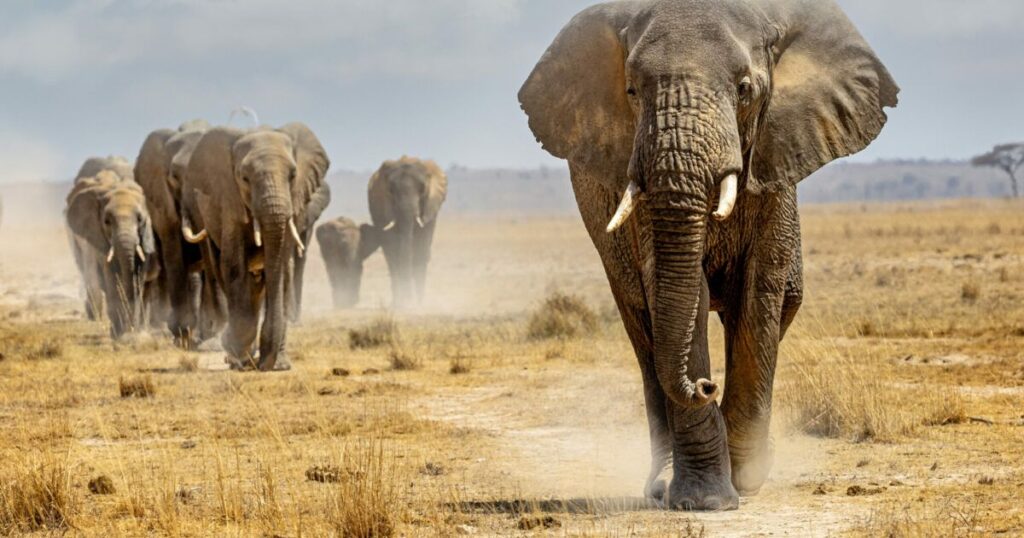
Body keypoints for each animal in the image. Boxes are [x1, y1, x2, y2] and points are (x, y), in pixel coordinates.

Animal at [66, 169, 157, 338]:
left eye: (140, 219)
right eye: (107, 221)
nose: (130, 328)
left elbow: (139, 275)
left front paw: (132, 330)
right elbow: (111, 275)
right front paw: (119, 332)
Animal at [181, 123, 330, 371]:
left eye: (293, 175)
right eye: (244, 178)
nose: (264, 362)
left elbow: (282, 270)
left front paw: (278, 365)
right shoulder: (229, 202)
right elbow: (234, 266)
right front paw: (238, 356)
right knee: (223, 272)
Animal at [367, 157, 447, 308]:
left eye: (422, 188)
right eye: (391, 190)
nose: (408, 299)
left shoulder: (430, 208)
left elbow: (421, 248)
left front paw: (418, 304)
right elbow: (393, 248)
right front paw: (403, 303)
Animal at [519, 0, 898, 510]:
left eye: (744, 90)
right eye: (631, 90)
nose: (704, 386)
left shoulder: (775, 159)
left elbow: (760, 289)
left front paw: (747, 478)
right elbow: (678, 288)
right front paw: (705, 500)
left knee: (783, 302)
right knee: (644, 333)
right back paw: (662, 481)